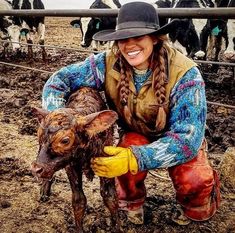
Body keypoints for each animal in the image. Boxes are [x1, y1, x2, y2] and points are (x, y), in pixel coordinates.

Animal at [31, 86, 121, 232]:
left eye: (65, 140)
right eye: (39, 135)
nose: (35, 169)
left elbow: (110, 197)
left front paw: (117, 227)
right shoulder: (71, 167)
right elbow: (79, 201)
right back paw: (44, 189)